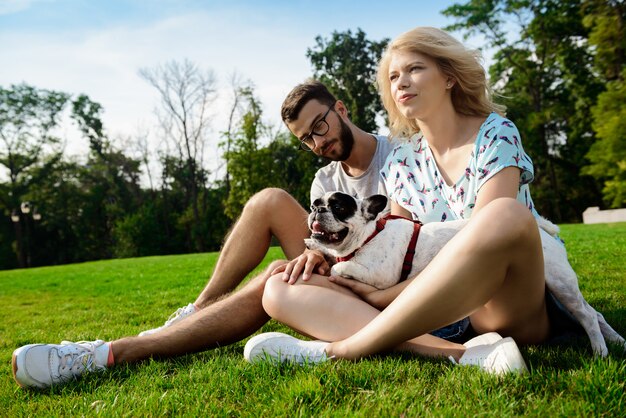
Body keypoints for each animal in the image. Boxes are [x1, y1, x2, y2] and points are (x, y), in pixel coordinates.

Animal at [304, 191, 620, 358]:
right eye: (315, 202)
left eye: (338, 206)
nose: (316, 207)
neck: (369, 234)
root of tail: (542, 230)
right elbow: (330, 255)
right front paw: (313, 247)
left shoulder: (380, 273)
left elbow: (341, 265)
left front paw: (335, 265)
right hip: (565, 283)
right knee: (594, 313)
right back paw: (617, 341)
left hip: (558, 282)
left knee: (587, 315)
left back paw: (600, 350)